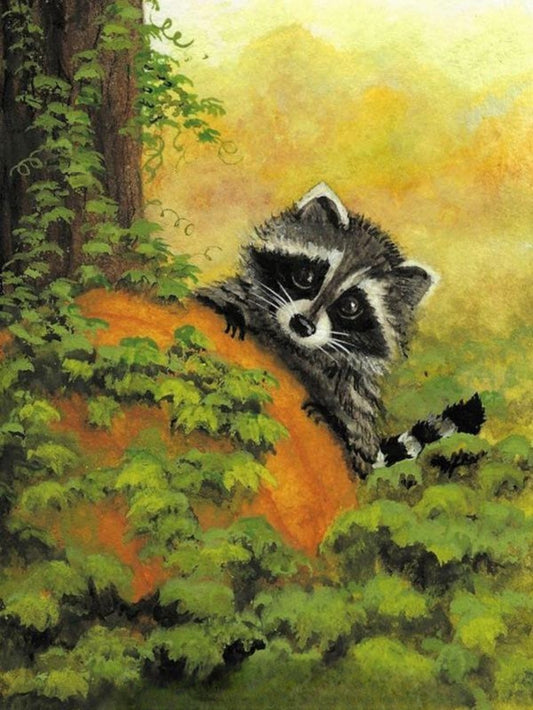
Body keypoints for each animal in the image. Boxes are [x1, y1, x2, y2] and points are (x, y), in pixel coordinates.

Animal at [198, 183, 483, 478]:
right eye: (305, 277)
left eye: (351, 306)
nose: (302, 324)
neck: (292, 344)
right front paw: (231, 309)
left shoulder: (352, 387)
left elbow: (353, 410)